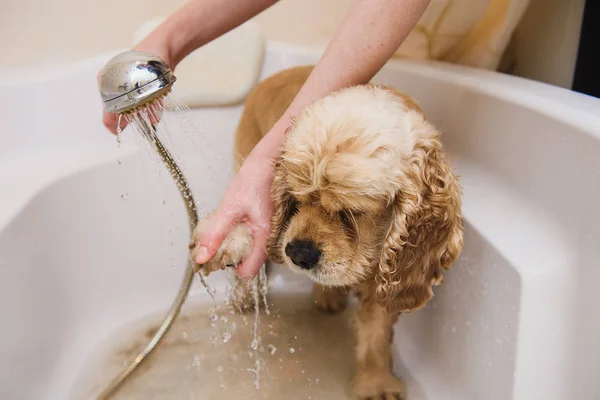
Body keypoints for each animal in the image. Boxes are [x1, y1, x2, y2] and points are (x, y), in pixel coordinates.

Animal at [190, 64, 462, 398]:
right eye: (295, 198)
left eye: (352, 212)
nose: (298, 253)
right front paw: (228, 240)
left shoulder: (390, 273)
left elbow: (377, 331)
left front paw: (375, 382)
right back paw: (245, 297)